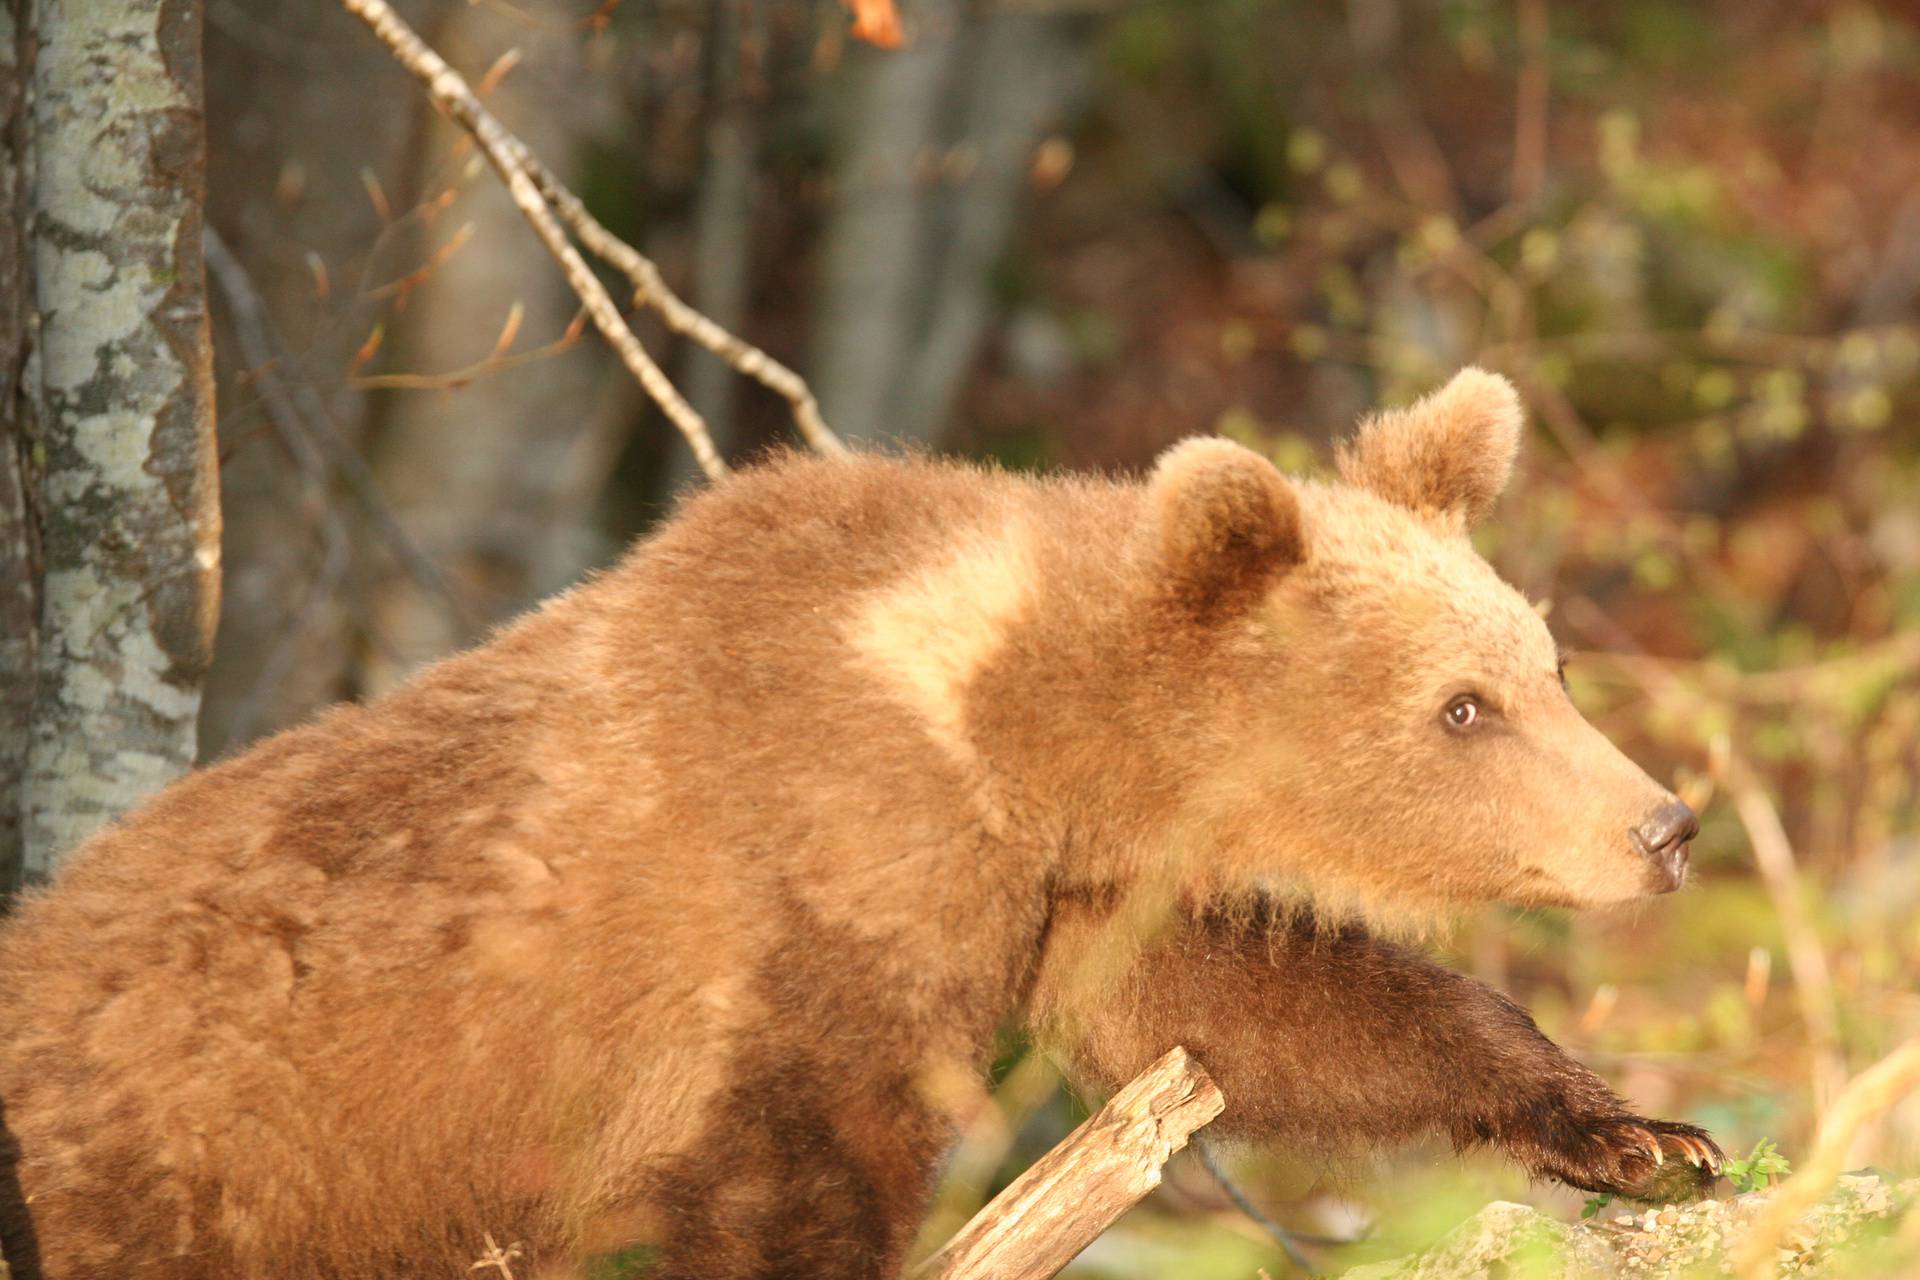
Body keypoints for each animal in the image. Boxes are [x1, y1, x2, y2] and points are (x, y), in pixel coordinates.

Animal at [0, 364, 1720, 1274]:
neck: (1009, 735)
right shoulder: (813, 888)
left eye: (1547, 663)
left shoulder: (1066, 898)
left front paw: (1641, 1135)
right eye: (1462, 708)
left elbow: (1249, 1011)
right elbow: (800, 1167)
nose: (1664, 825)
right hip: (188, 1181)